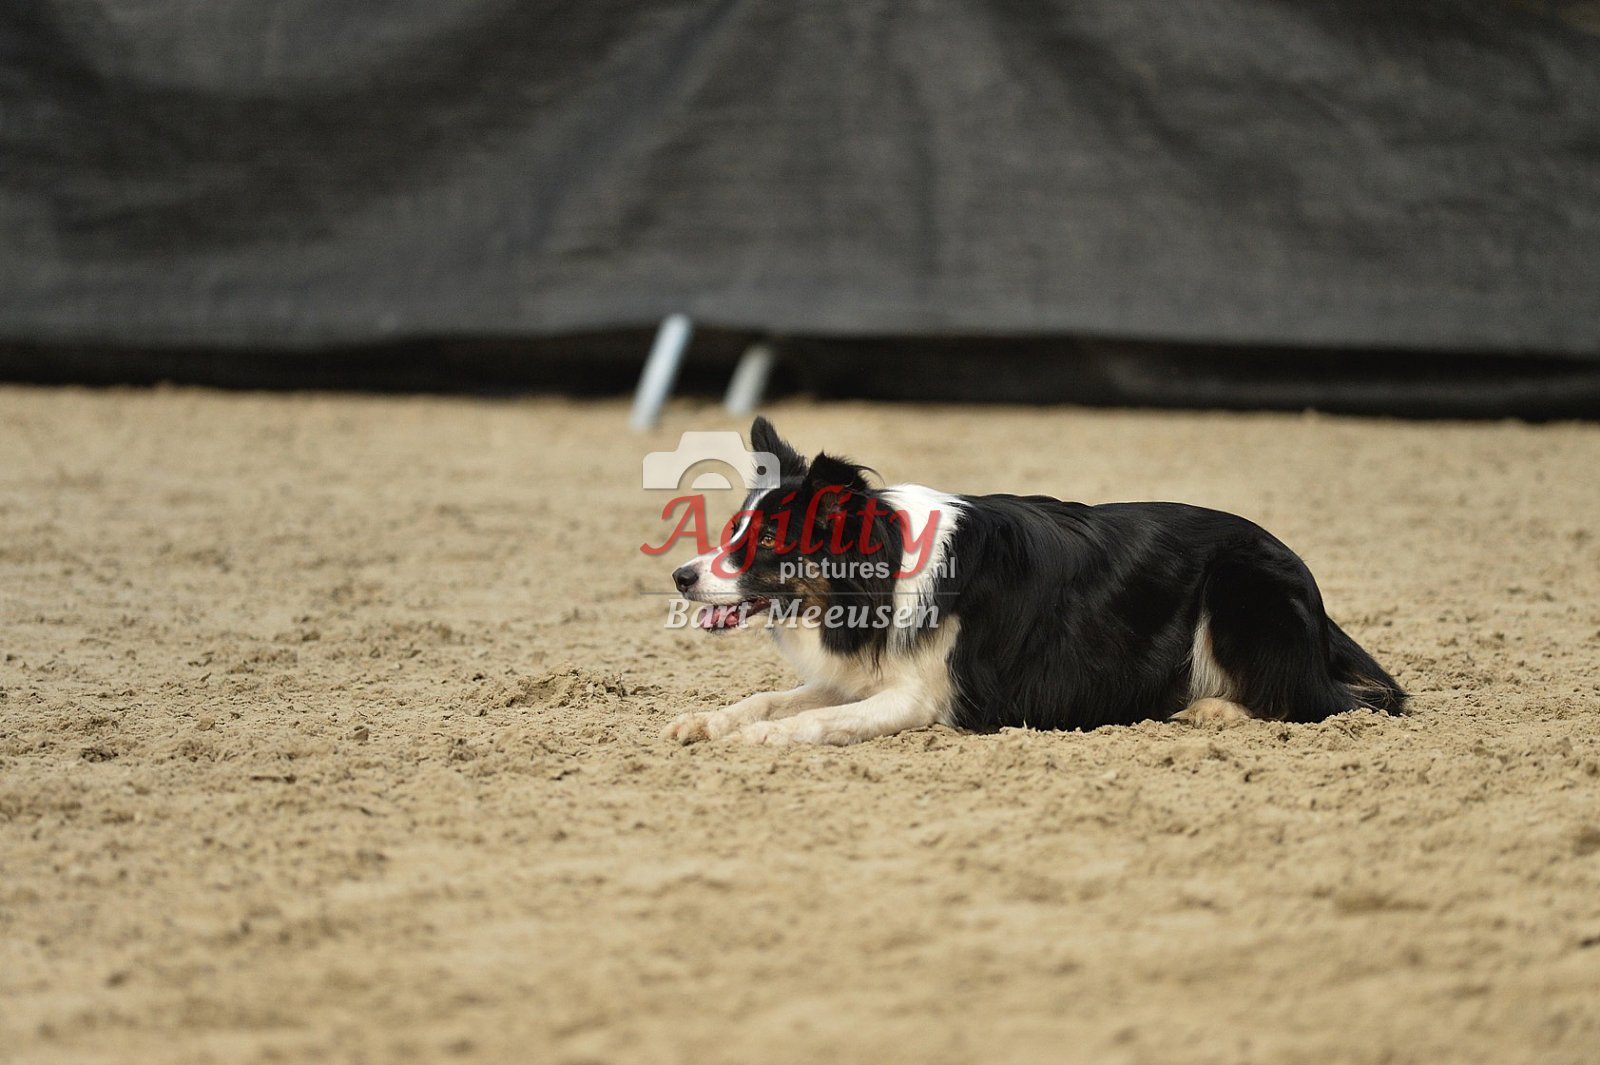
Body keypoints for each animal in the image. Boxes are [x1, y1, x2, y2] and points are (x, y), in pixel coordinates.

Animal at [663, 417, 1404, 746]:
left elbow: (815, 718)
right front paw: (707, 720)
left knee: (1328, 702)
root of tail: (1311, 589)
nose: (681, 575)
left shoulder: (921, 697)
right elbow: (770, 697)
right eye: (734, 529)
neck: (880, 576)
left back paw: (1214, 708)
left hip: (1236, 591)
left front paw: (755, 740)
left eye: (765, 544)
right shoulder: (867, 672)